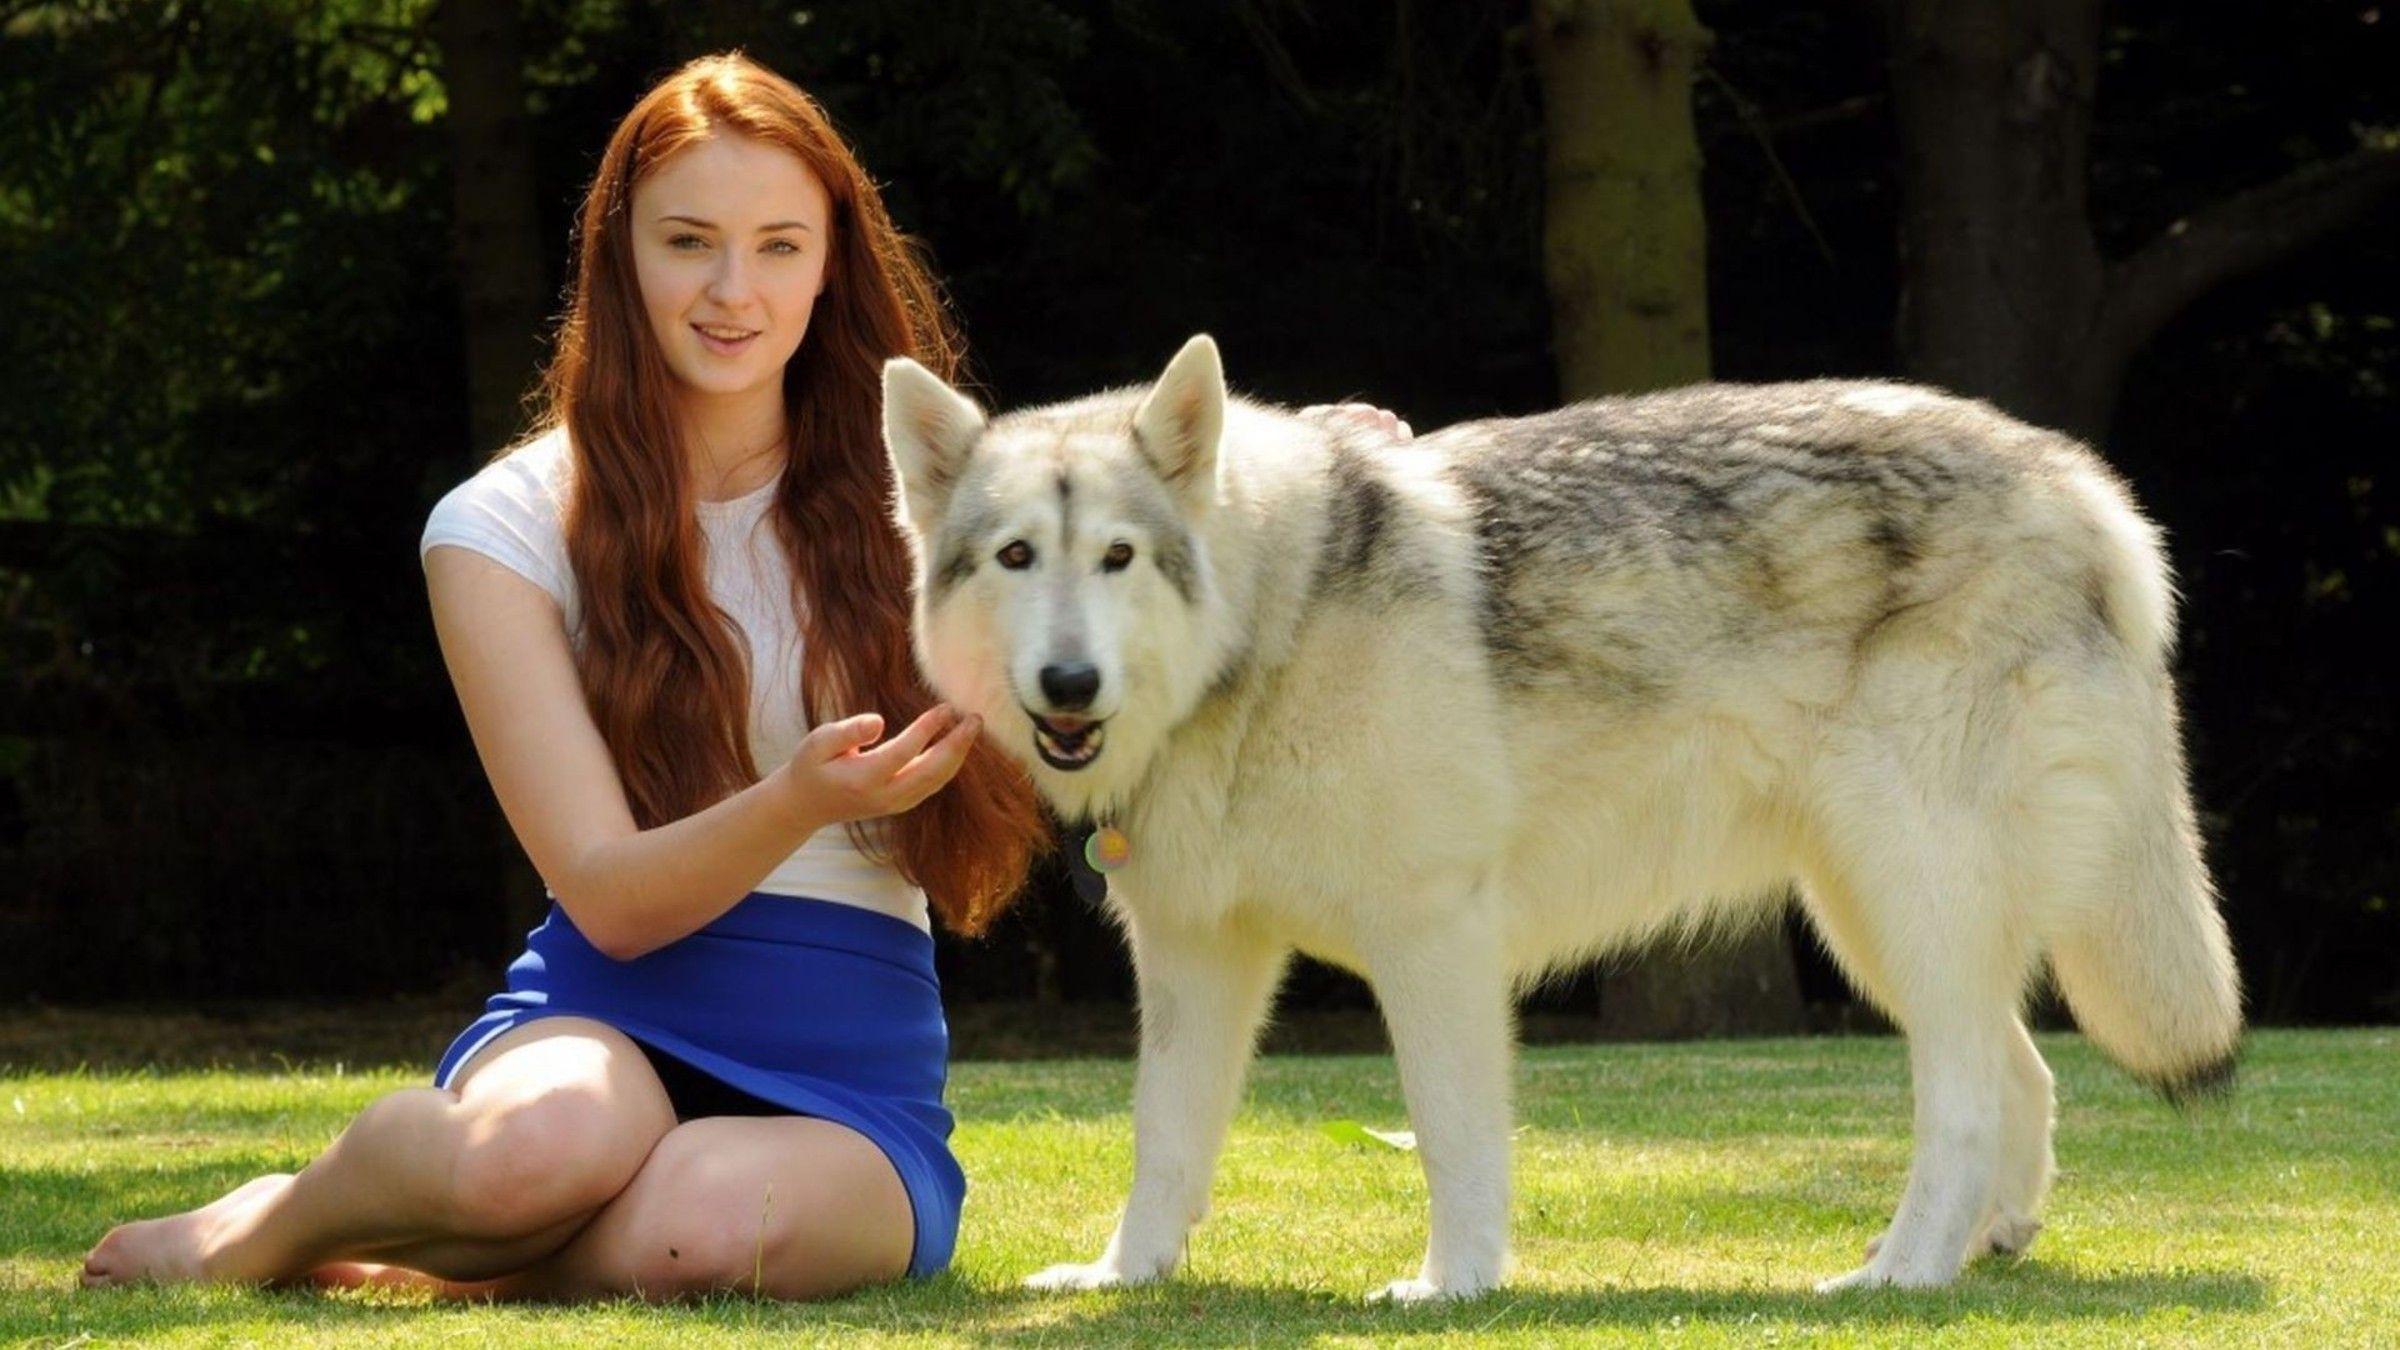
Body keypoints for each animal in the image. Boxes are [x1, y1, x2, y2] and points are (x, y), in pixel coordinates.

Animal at [878, 335, 2241, 1299]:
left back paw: (1897, 1276)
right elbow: (1162, 1142)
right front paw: (1125, 1277)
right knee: (2024, 1074)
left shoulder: (1433, 938)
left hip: (1903, 904)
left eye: (1116, 557)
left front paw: (1453, 1287)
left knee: (1962, 1102)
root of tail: (2081, 484)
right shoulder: (1196, 957)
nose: (1067, 686)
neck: (1266, 629)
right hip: (1879, 925)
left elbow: (1452, 1137)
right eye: (1015, 558)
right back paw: (1975, 1250)